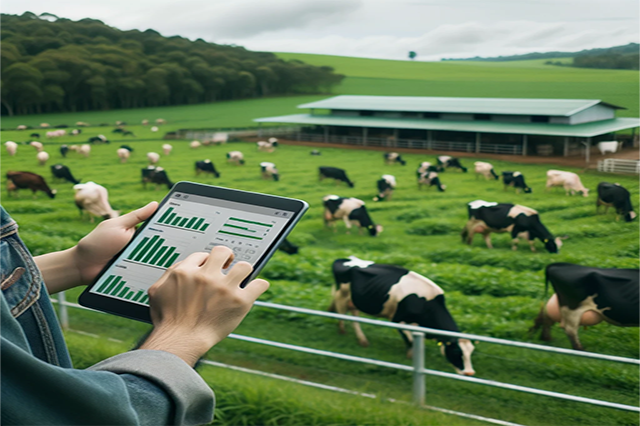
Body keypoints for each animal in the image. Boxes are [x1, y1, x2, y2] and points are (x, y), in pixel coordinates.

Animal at [330, 255, 476, 374]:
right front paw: (411, 357)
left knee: (354, 317)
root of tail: (345, 258)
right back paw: (342, 331)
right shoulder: (398, 319)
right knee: (341, 313)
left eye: (471, 352)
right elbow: (410, 341)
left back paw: (362, 340)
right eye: (457, 352)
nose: (469, 373)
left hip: (354, 301)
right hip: (342, 295)